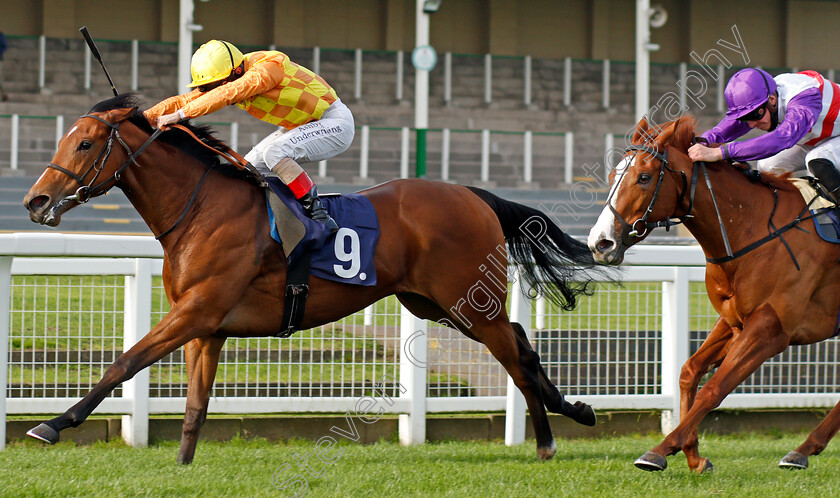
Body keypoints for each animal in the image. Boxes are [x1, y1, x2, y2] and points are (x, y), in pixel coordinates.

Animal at [23, 95, 608, 464]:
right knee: (521, 340)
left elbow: (124, 362)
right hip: (436, 304)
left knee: (515, 357)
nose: (35, 200)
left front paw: (53, 424)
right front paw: (184, 462)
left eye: (84, 144)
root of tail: (473, 193)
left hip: (467, 302)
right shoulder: (207, 326)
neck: (201, 209)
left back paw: (547, 439)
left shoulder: (197, 310)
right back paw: (574, 410)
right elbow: (194, 404)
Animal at [588, 115, 840, 470]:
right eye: (613, 177)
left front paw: (661, 449)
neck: (752, 230)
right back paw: (803, 450)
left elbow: (715, 388)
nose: (600, 243)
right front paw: (693, 455)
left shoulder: (770, 331)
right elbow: (689, 371)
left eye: (644, 177)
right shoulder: (735, 321)